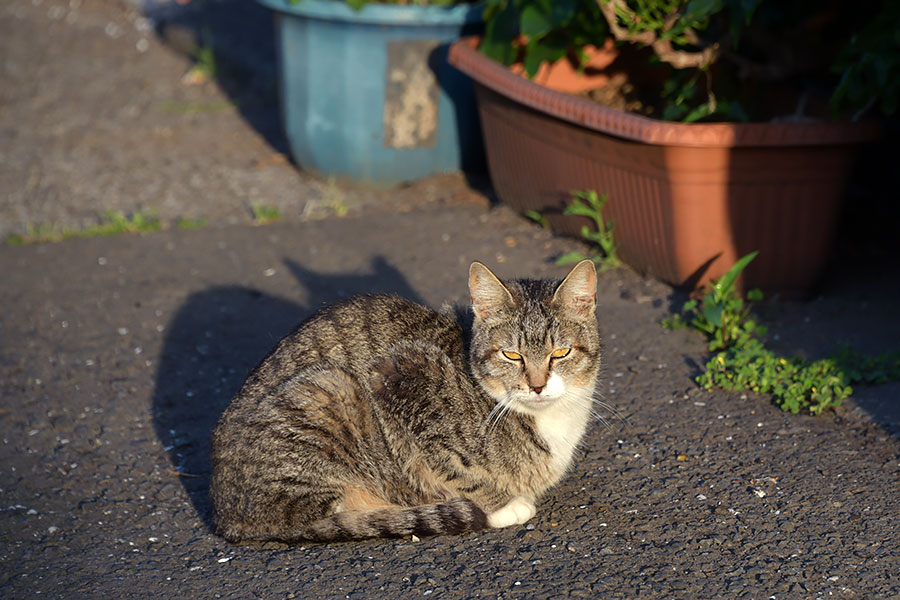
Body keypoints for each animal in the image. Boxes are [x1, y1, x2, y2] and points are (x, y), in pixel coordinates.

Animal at [210, 260, 600, 540]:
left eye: (560, 353)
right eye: (512, 355)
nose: (537, 386)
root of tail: (223, 513)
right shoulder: (403, 375)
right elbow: (452, 464)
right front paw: (503, 505)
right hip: (329, 389)